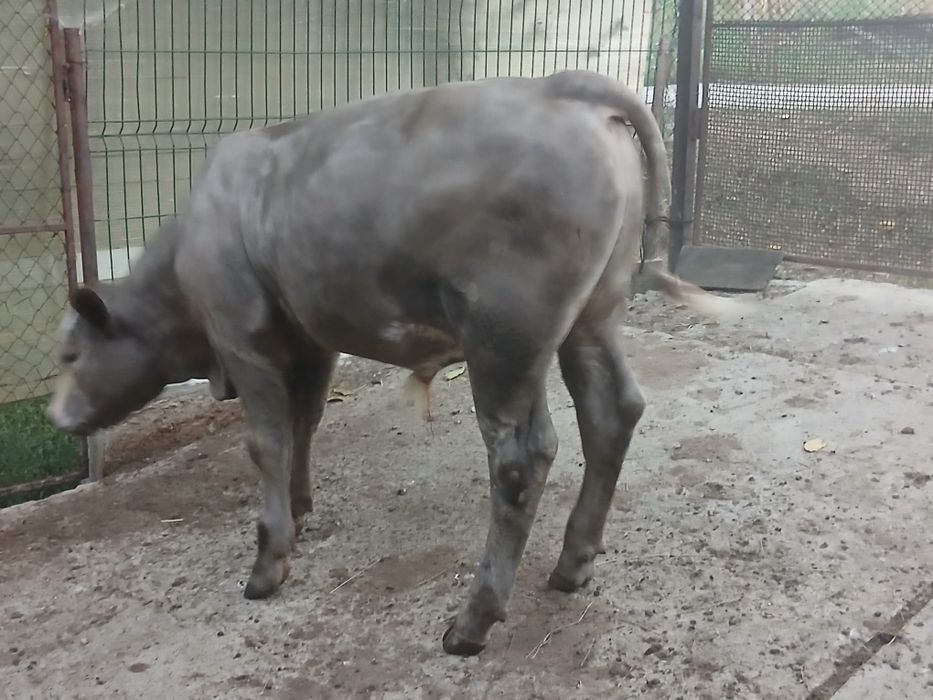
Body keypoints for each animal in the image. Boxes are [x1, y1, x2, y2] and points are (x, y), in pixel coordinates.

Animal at [47, 70, 744, 655]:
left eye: (71, 353)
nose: (56, 419)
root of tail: (563, 86)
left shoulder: (243, 338)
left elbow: (266, 442)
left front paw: (269, 561)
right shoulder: (313, 339)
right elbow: (305, 423)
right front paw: (299, 508)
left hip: (502, 338)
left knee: (522, 460)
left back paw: (473, 621)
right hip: (588, 319)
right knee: (610, 414)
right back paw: (573, 563)